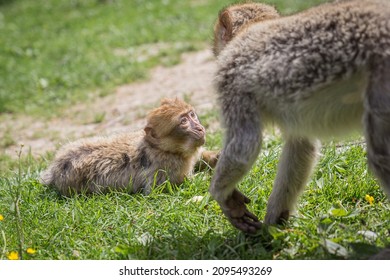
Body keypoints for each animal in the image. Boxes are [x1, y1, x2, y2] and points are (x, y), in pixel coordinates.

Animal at [42, 98, 219, 197]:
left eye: (192, 115)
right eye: (183, 122)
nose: (200, 128)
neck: (164, 149)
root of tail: (55, 170)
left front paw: (216, 157)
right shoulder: (166, 169)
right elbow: (162, 189)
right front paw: (205, 178)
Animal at [210, 0, 390, 234]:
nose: (215, 51)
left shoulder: (230, 78)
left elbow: (244, 145)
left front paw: (222, 196)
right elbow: (302, 145)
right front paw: (275, 221)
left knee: (381, 156)